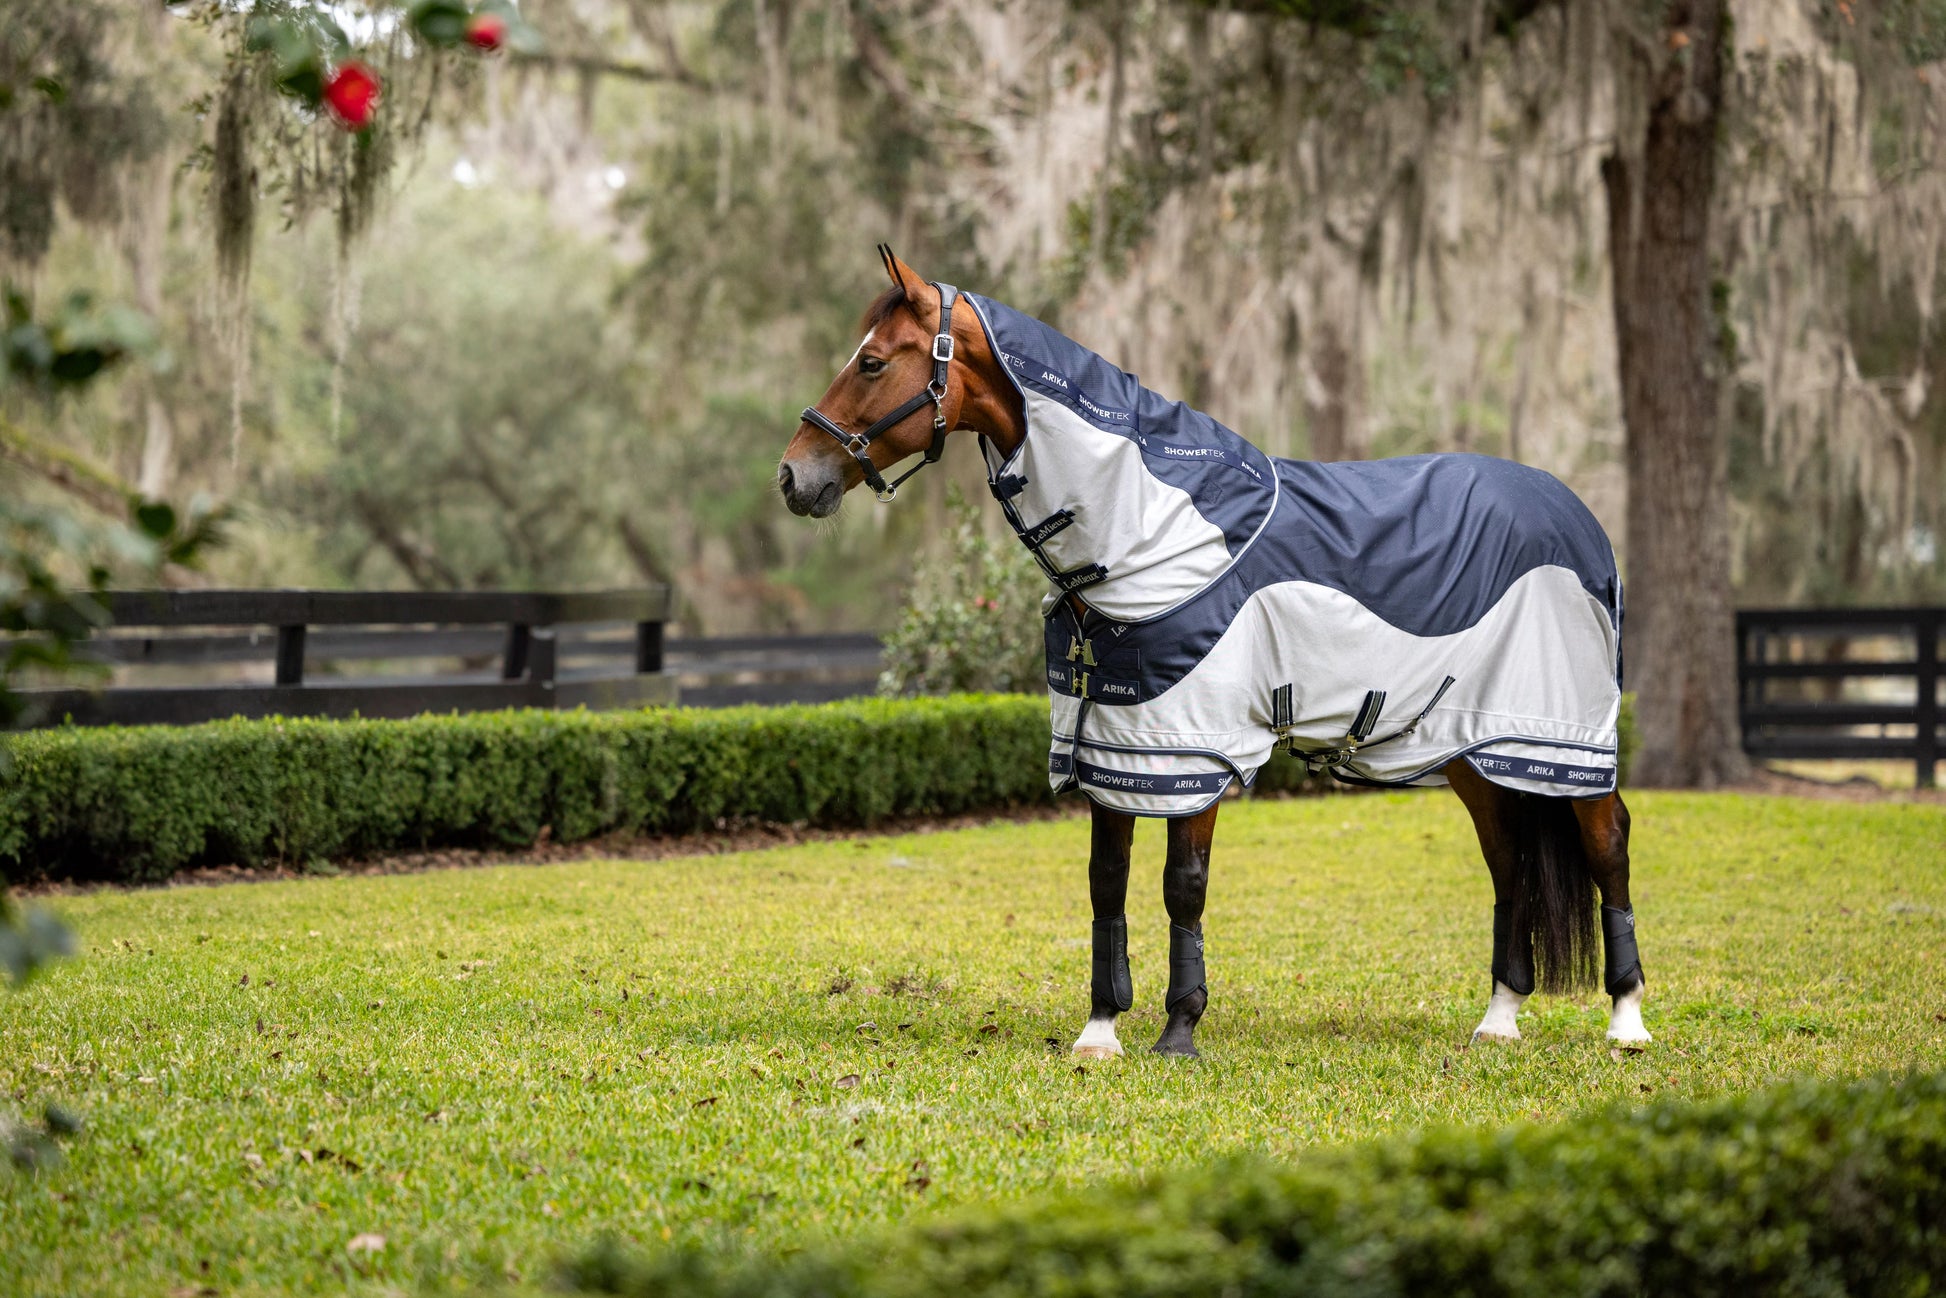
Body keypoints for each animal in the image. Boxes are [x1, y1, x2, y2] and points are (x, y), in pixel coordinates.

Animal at [778, 247, 1646, 1060]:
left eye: (872, 361)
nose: (793, 476)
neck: (1155, 537)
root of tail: (1577, 516)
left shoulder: (1194, 752)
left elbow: (1181, 887)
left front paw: (1179, 1027)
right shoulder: (1115, 749)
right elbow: (1107, 884)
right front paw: (1100, 1029)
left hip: (1568, 742)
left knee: (1608, 845)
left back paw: (1626, 1020)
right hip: (1476, 749)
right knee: (1510, 861)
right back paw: (1499, 1018)